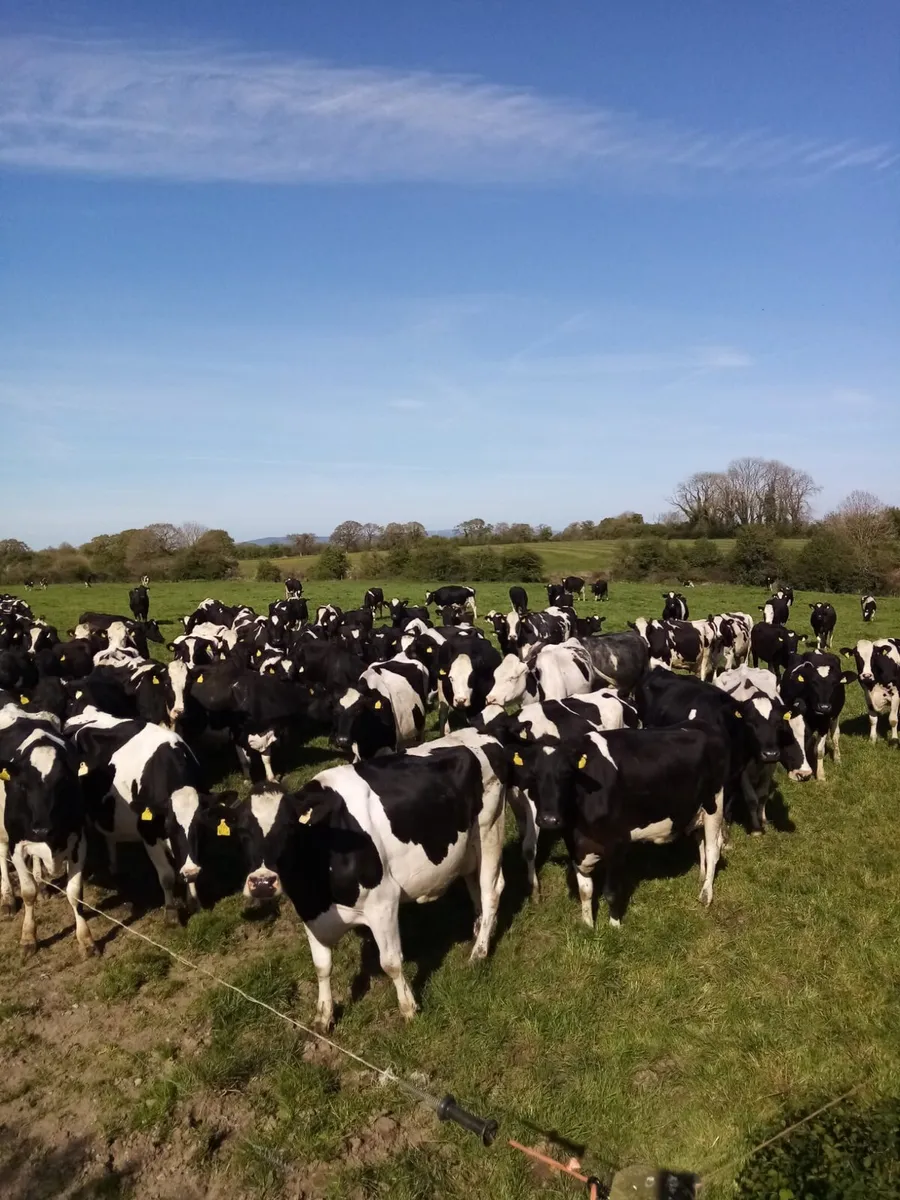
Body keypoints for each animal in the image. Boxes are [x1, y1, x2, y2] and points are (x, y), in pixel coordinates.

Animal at [0, 703, 95, 958]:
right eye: (22, 785)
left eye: (63, 782)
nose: (41, 828)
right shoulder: (17, 844)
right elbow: (27, 892)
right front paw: (28, 937)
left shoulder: (79, 840)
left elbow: (75, 893)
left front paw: (86, 939)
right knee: (1, 853)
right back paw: (7, 898)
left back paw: (43, 883)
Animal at [210, 739, 506, 1029]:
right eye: (241, 832)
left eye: (289, 828)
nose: (262, 882)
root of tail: (481, 740)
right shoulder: (309, 912)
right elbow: (321, 966)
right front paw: (324, 1016)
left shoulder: (383, 902)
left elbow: (391, 962)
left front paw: (409, 1009)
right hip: (467, 848)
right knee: (473, 884)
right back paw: (481, 928)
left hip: (489, 830)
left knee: (491, 889)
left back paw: (479, 952)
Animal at [512, 721, 728, 926]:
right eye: (534, 775)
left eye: (567, 774)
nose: (549, 820)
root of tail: (703, 724)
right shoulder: (575, 846)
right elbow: (585, 890)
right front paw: (587, 925)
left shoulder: (617, 844)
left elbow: (611, 892)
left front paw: (614, 926)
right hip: (695, 809)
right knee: (701, 840)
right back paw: (701, 875)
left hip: (714, 804)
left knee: (713, 848)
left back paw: (706, 894)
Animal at [779, 652, 856, 781]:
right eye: (813, 682)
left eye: (835, 684)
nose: (824, 707)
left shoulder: (824, 724)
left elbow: (819, 750)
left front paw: (820, 775)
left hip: (835, 716)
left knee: (835, 735)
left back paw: (837, 758)